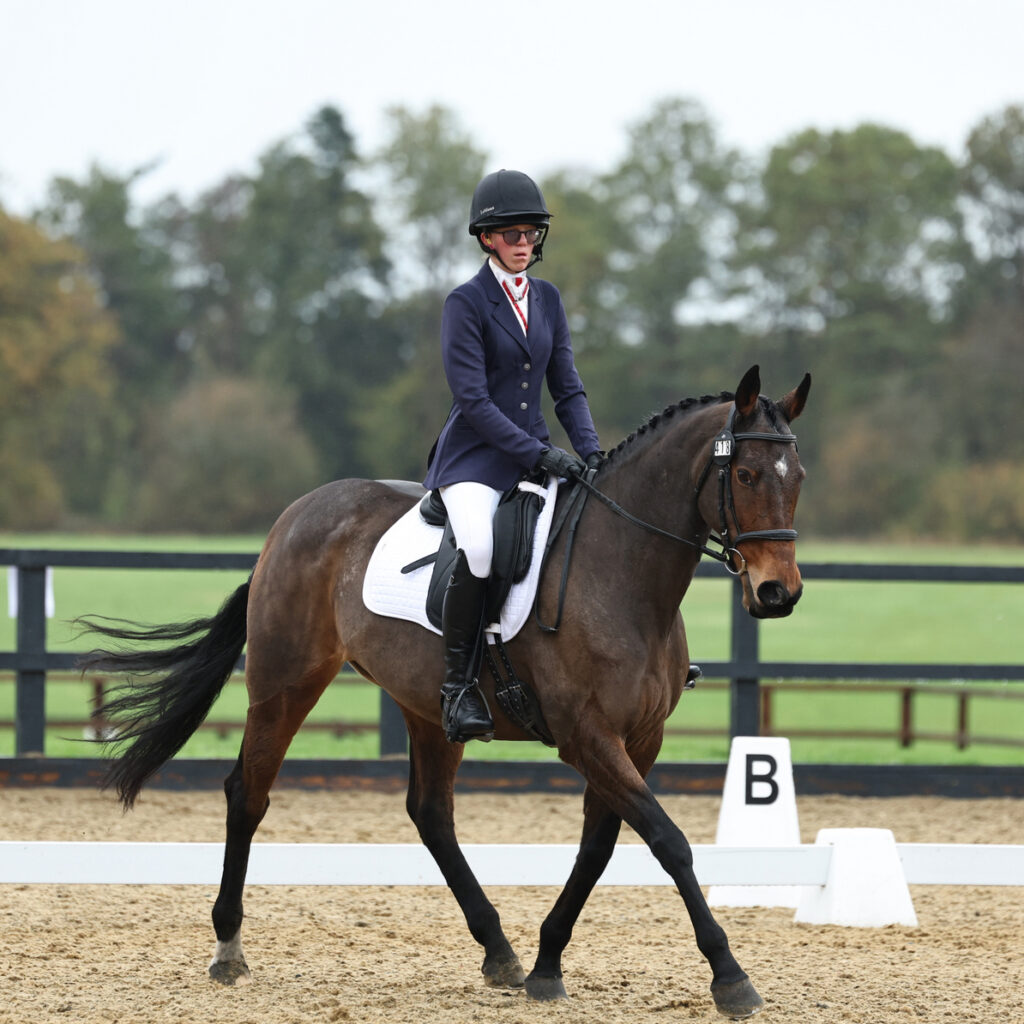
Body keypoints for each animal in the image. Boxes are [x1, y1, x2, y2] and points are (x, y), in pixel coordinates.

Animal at [81, 364, 810, 1019]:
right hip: (287, 682)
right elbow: (668, 840)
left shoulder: (640, 739)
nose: (778, 593)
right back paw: (229, 948)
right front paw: (730, 976)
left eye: (797, 478)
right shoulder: (586, 736)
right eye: (745, 475)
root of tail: (292, 518)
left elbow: (600, 847)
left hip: (427, 707)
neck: (622, 573)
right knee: (248, 793)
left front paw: (546, 964)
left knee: (431, 813)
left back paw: (500, 951)